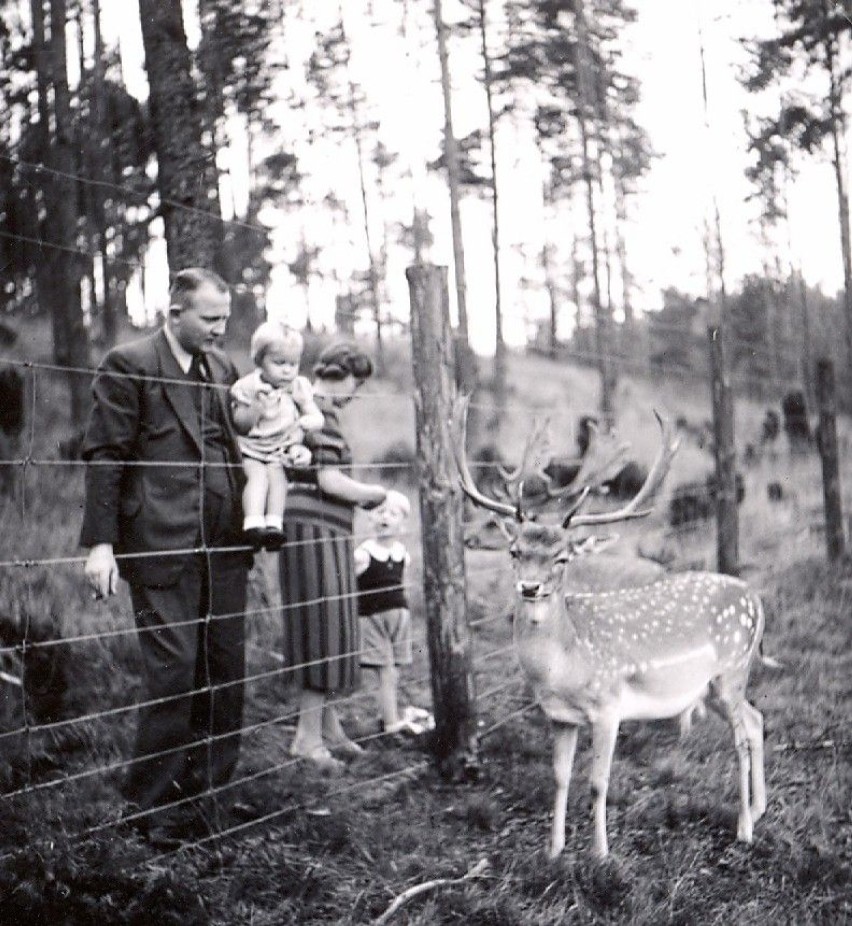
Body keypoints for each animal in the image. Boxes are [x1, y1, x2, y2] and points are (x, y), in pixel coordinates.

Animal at [456, 402, 768, 860]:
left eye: (562, 557)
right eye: (516, 551)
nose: (529, 587)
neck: (565, 667)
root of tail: (756, 599)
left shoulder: (608, 707)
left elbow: (597, 782)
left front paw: (601, 855)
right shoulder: (559, 717)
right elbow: (560, 777)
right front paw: (554, 851)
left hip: (731, 671)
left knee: (743, 736)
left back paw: (745, 827)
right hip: (713, 686)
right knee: (756, 718)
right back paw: (759, 808)